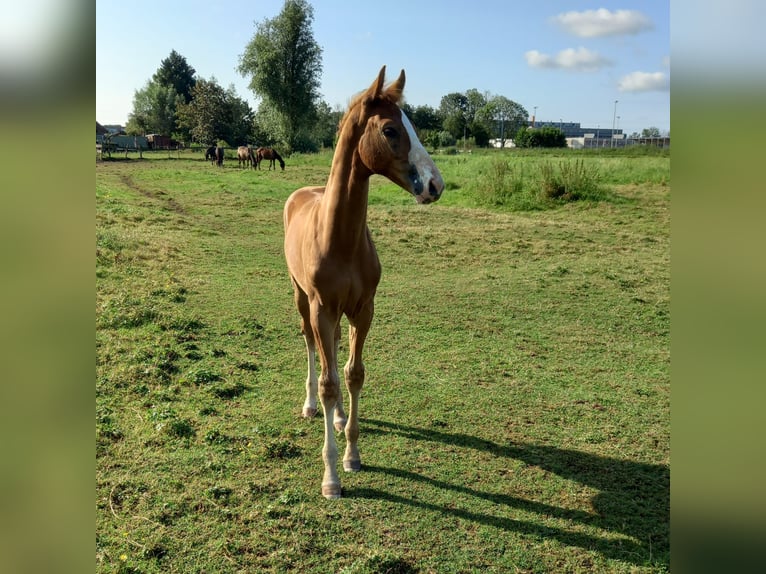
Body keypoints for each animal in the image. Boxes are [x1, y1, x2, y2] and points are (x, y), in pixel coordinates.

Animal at [284, 67, 448, 500]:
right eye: (390, 130)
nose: (435, 185)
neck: (339, 237)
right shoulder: (322, 308)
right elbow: (329, 381)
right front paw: (330, 477)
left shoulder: (363, 310)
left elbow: (353, 374)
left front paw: (352, 455)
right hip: (301, 298)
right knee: (311, 344)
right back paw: (310, 405)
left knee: (337, 352)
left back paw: (340, 417)